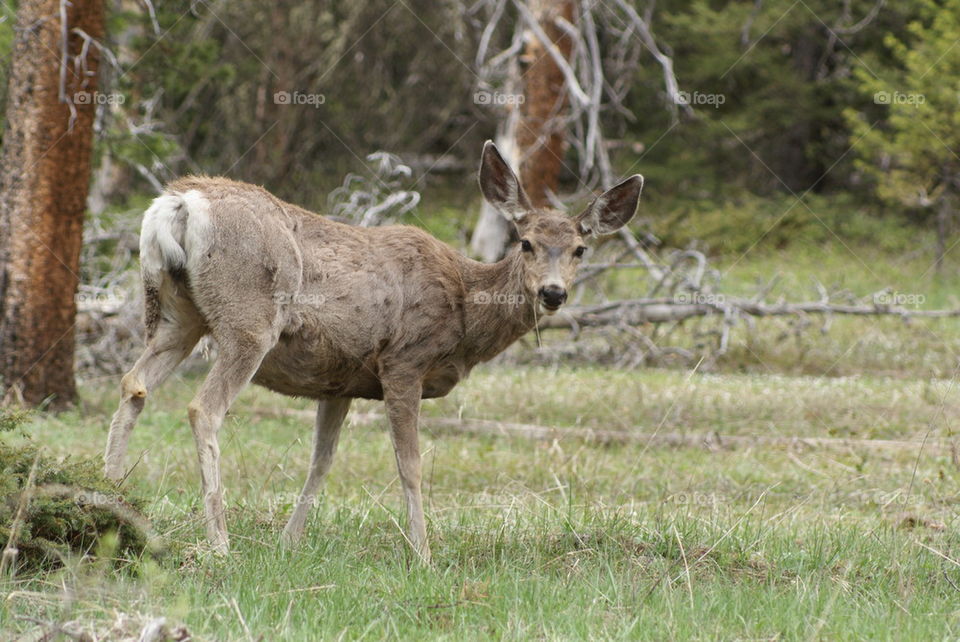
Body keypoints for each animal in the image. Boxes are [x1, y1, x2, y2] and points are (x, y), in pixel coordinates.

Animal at [105, 141, 640, 560]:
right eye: (525, 243)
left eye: (580, 250)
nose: (553, 293)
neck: (465, 312)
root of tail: (179, 202)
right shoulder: (404, 361)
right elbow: (411, 463)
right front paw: (422, 552)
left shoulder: (339, 381)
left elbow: (321, 460)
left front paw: (289, 542)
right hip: (248, 320)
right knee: (204, 408)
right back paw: (219, 542)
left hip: (174, 313)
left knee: (133, 383)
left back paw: (110, 501)